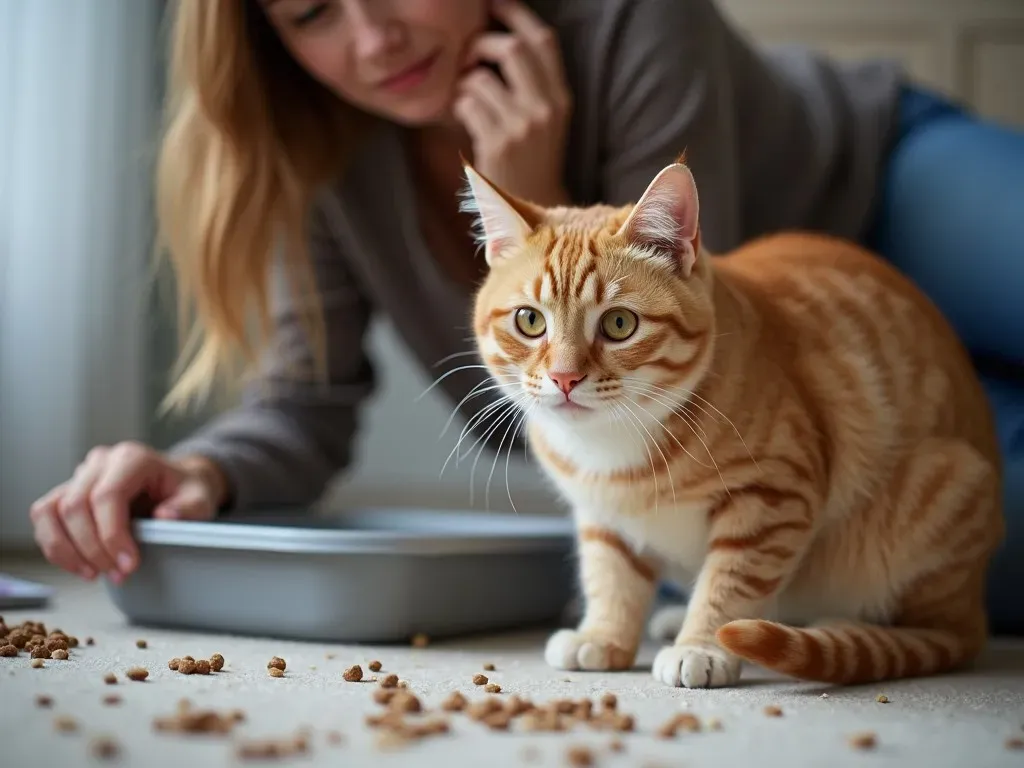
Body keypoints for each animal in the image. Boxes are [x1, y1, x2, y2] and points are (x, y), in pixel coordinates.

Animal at [466, 159, 1007, 688]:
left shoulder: (774, 497)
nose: (564, 377)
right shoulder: (603, 514)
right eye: (530, 321)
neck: (613, 447)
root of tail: (973, 607)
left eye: (619, 324)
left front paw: (702, 646)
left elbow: (731, 580)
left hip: (944, 488)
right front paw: (604, 636)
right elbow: (611, 574)